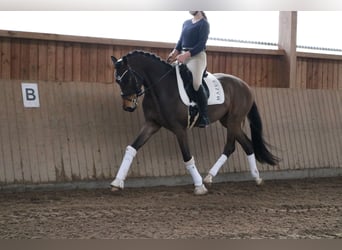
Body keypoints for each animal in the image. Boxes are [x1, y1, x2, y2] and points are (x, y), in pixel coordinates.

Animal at [111, 50, 280, 195]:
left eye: (127, 78)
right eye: (117, 81)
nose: (128, 107)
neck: (161, 88)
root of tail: (245, 86)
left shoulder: (179, 129)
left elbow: (187, 156)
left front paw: (199, 186)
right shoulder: (151, 124)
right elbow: (132, 148)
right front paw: (117, 182)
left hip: (233, 121)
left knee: (230, 147)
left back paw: (209, 178)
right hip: (229, 122)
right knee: (247, 145)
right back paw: (255, 178)